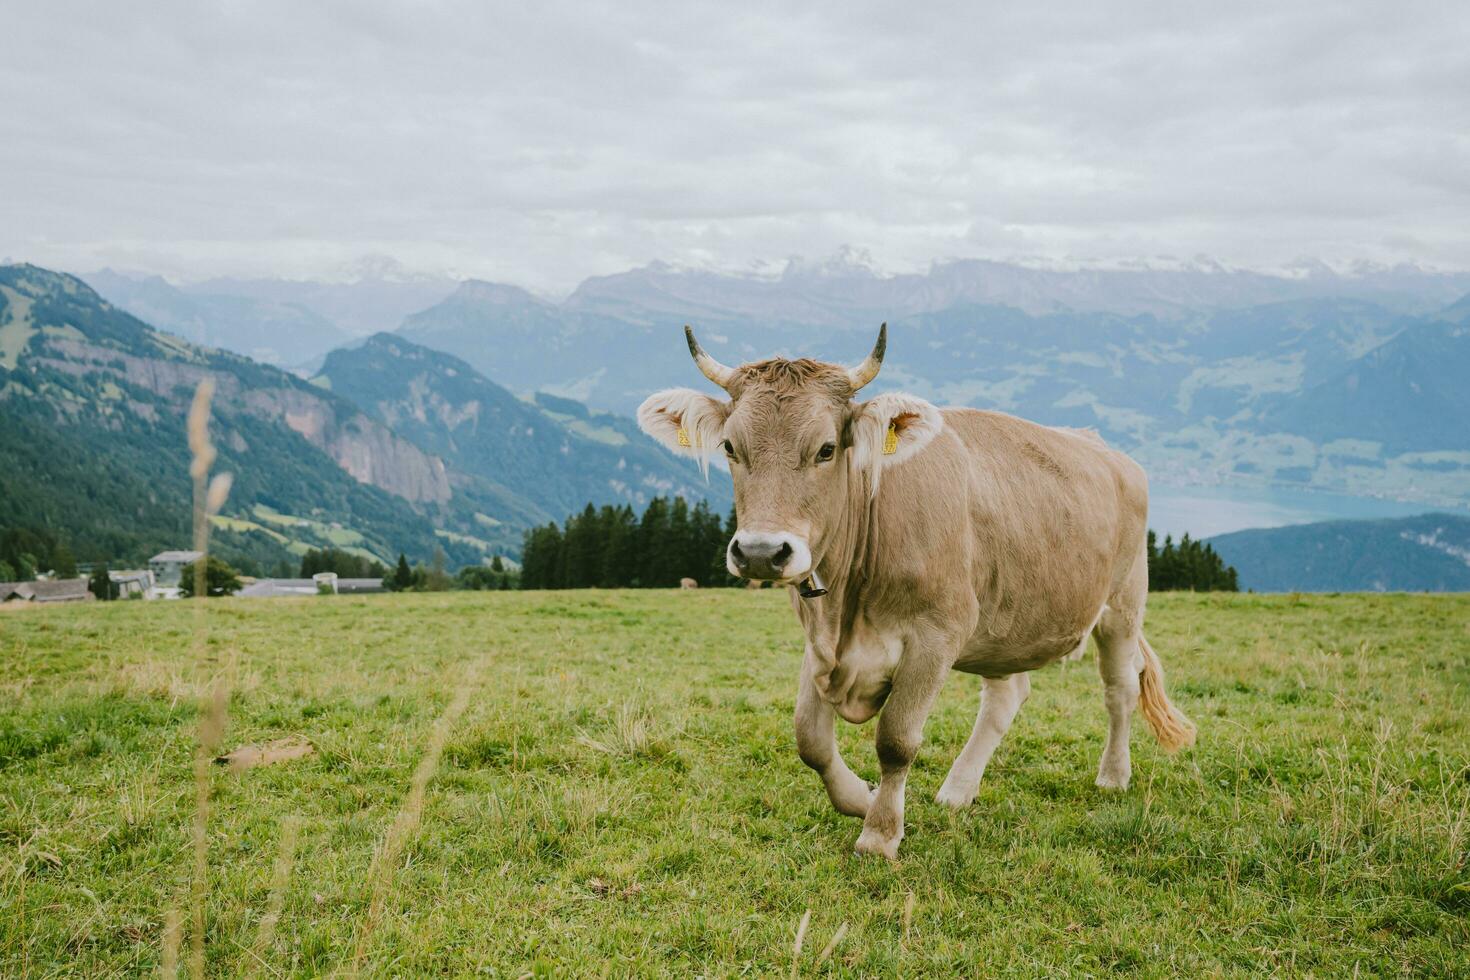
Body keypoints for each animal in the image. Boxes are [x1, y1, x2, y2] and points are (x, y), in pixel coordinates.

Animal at [635, 323, 1193, 858]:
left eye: (826, 449)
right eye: (731, 447)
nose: (759, 552)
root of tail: (1105, 448)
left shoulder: (937, 635)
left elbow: (896, 739)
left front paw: (880, 833)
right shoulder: (819, 640)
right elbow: (809, 739)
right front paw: (860, 798)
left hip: (1122, 605)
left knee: (1119, 689)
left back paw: (1113, 776)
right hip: (1006, 619)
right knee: (1006, 696)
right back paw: (958, 790)